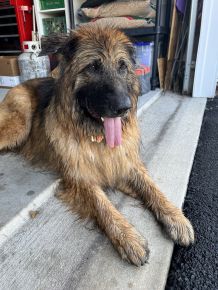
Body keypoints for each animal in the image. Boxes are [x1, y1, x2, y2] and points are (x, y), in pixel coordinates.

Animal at [0, 24, 194, 266]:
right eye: (93, 66)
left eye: (122, 67)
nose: (124, 107)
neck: (96, 135)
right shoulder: (80, 177)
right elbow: (103, 206)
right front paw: (128, 237)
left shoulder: (126, 162)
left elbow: (153, 188)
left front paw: (176, 218)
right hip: (18, 125)